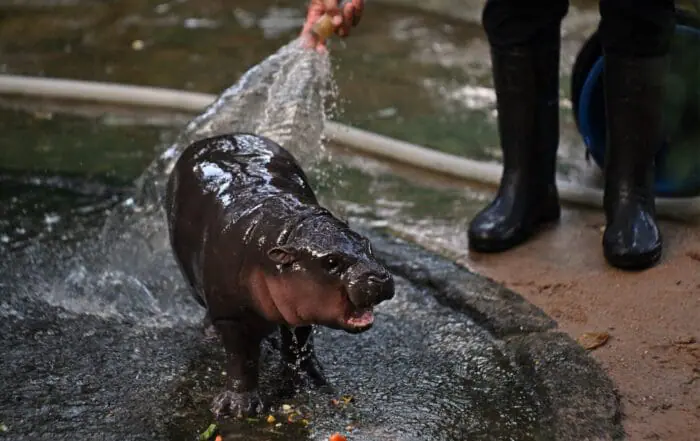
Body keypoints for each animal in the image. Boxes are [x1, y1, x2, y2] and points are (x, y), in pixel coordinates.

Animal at [165, 132, 394, 418]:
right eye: (331, 261)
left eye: (367, 244)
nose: (380, 277)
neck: (287, 231)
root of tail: (217, 137)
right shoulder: (231, 316)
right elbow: (241, 359)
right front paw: (239, 408)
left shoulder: (300, 306)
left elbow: (301, 342)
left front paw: (311, 381)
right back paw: (211, 333)